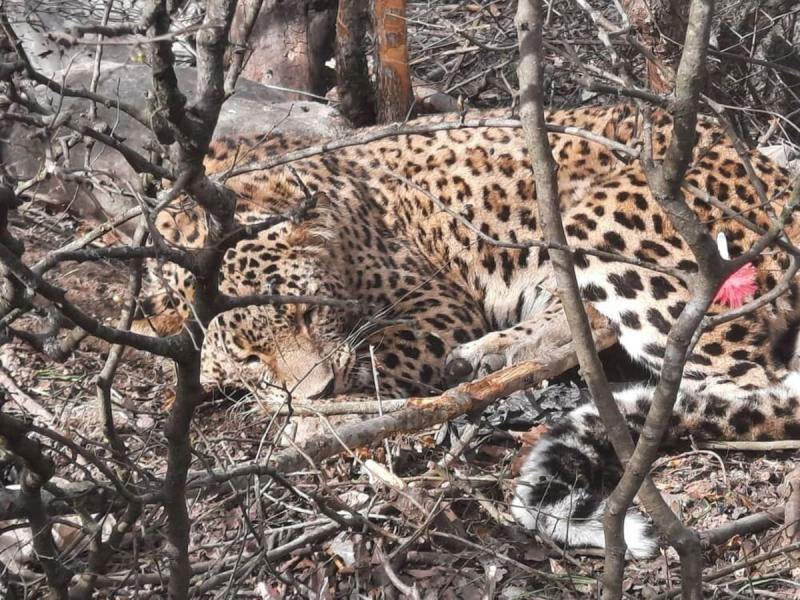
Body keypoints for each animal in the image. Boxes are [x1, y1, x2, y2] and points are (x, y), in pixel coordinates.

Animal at [134, 103, 800, 556]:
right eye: (251, 356)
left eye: (306, 312)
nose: (318, 391)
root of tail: (770, 170)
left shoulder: (433, 304)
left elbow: (374, 361)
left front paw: (314, 418)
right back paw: (487, 359)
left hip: (610, 226)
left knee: (753, 383)